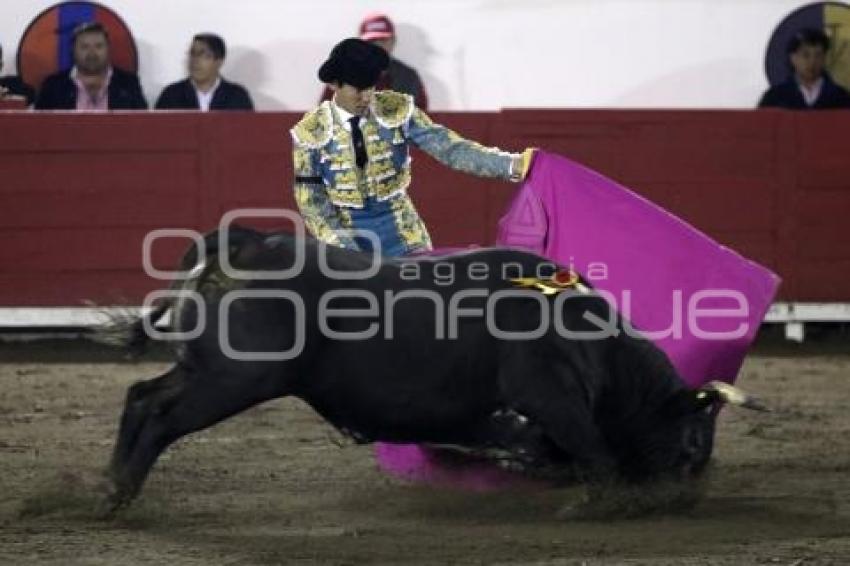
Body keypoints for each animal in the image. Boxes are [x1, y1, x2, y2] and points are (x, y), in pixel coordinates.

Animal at [106, 229, 760, 512]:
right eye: (691, 442)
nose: (681, 501)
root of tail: (245, 242)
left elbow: (553, 453)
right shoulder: (550, 398)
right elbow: (592, 456)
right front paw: (599, 506)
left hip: (207, 371)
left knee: (140, 396)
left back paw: (113, 486)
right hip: (235, 380)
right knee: (160, 414)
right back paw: (119, 494)